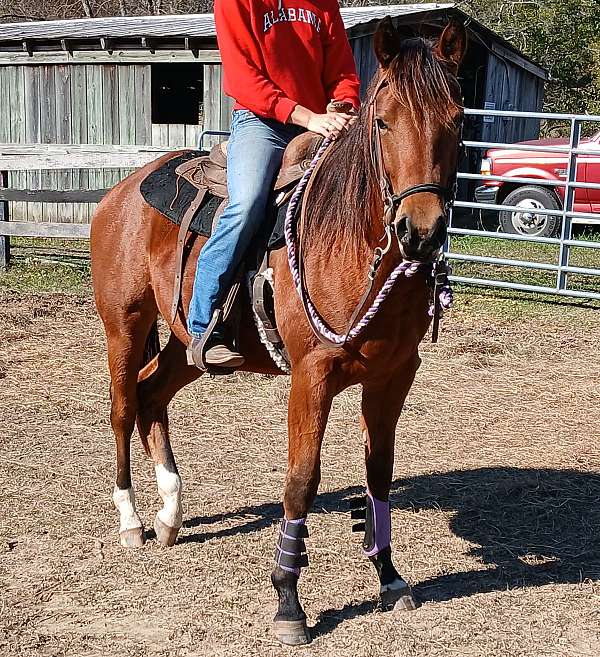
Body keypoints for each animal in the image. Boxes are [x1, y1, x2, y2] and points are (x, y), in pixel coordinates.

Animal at [91, 19, 468, 644]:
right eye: (384, 121)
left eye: (458, 118)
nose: (421, 232)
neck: (347, 242)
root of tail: (123, 191)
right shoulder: (311, 377)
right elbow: (300, 480)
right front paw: (288, 600)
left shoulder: (393, 376)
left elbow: (379, 474)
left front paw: (389, 577)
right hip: (124, 323)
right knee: (123, 407)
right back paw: (131, 520)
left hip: (187, 345)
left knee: (151, 394)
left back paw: (170, 512)